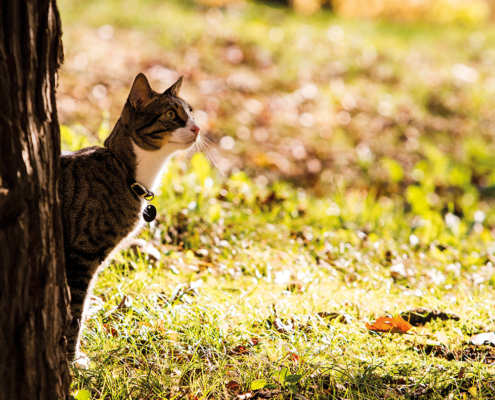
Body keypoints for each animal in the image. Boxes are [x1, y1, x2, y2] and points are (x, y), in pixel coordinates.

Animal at [57, 72, 199, 366]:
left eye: (191, 112)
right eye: (171, 114)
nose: (197, 128)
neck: (124, 171)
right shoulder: (80, 257)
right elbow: (76, 309)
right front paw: (72, 361)